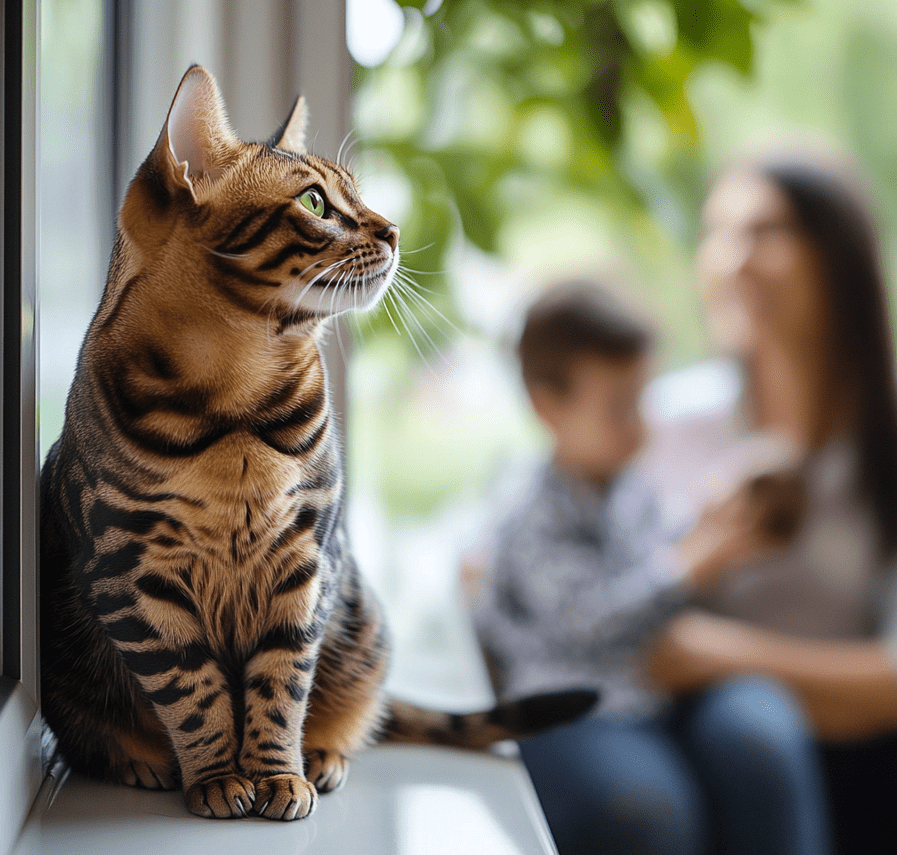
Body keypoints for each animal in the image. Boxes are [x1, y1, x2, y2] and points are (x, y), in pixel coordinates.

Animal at [40, 65, 596, 824]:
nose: (394, 229)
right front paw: (219, 776)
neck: (235, 410)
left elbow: (281, 687)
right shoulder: (132, 570)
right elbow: (195, 694)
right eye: (315, 203)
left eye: (357, 195)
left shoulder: (305, 559)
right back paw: (139, 759)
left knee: (356, 709)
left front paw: (278, 775)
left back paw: (324, 755)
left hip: (363, 626)